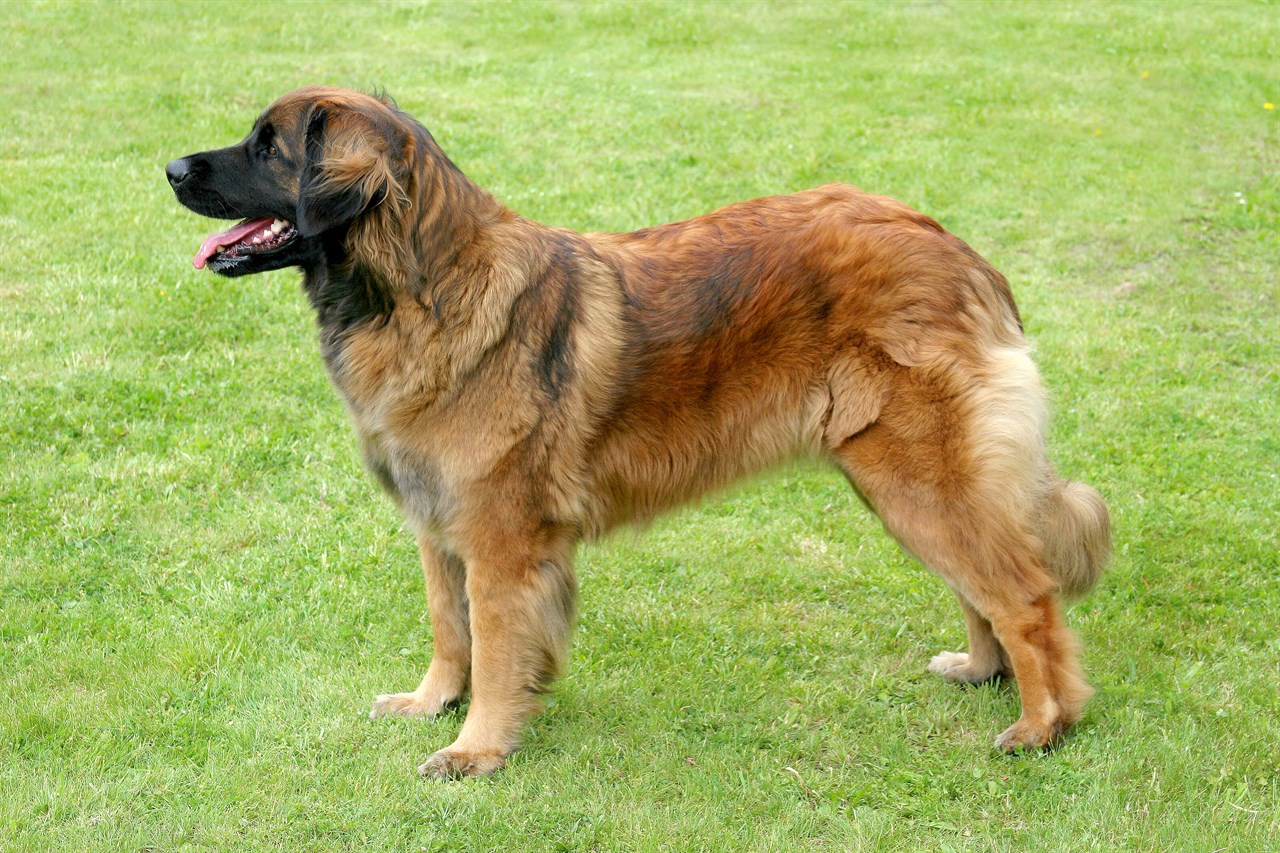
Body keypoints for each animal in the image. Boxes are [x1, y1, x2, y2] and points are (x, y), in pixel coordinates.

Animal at [167, 87, 1111, 778]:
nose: (171, 166)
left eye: (268, 148)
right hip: (905, 481)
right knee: (982, 583)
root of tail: (959, 252)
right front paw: (432, 702)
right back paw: (983, 671)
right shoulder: (438, 523)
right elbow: (448, 625)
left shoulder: (501, 540)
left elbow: (495, 644)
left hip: (915, 475)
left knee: (1024, 593)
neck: (423, 292)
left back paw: (1042, 723)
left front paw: (477, 747)